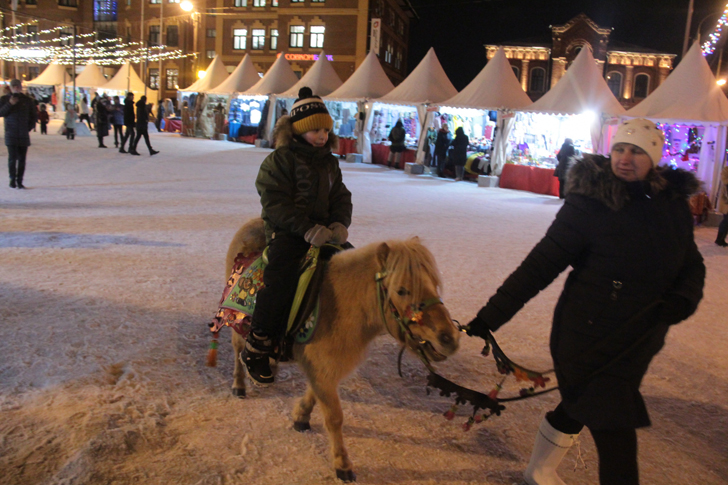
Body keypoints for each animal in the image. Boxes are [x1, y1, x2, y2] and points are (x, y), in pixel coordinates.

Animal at [225, 218, 458, 480]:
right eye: (401, 290)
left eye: (435, 285)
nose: (449, 338)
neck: (340, 305)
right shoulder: (322, 369)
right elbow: (334, 417)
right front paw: (342, 464)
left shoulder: (324, 368)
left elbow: (314, 396)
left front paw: (301, 416)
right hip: (237, 324)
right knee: (238, 352)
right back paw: (240, 385)